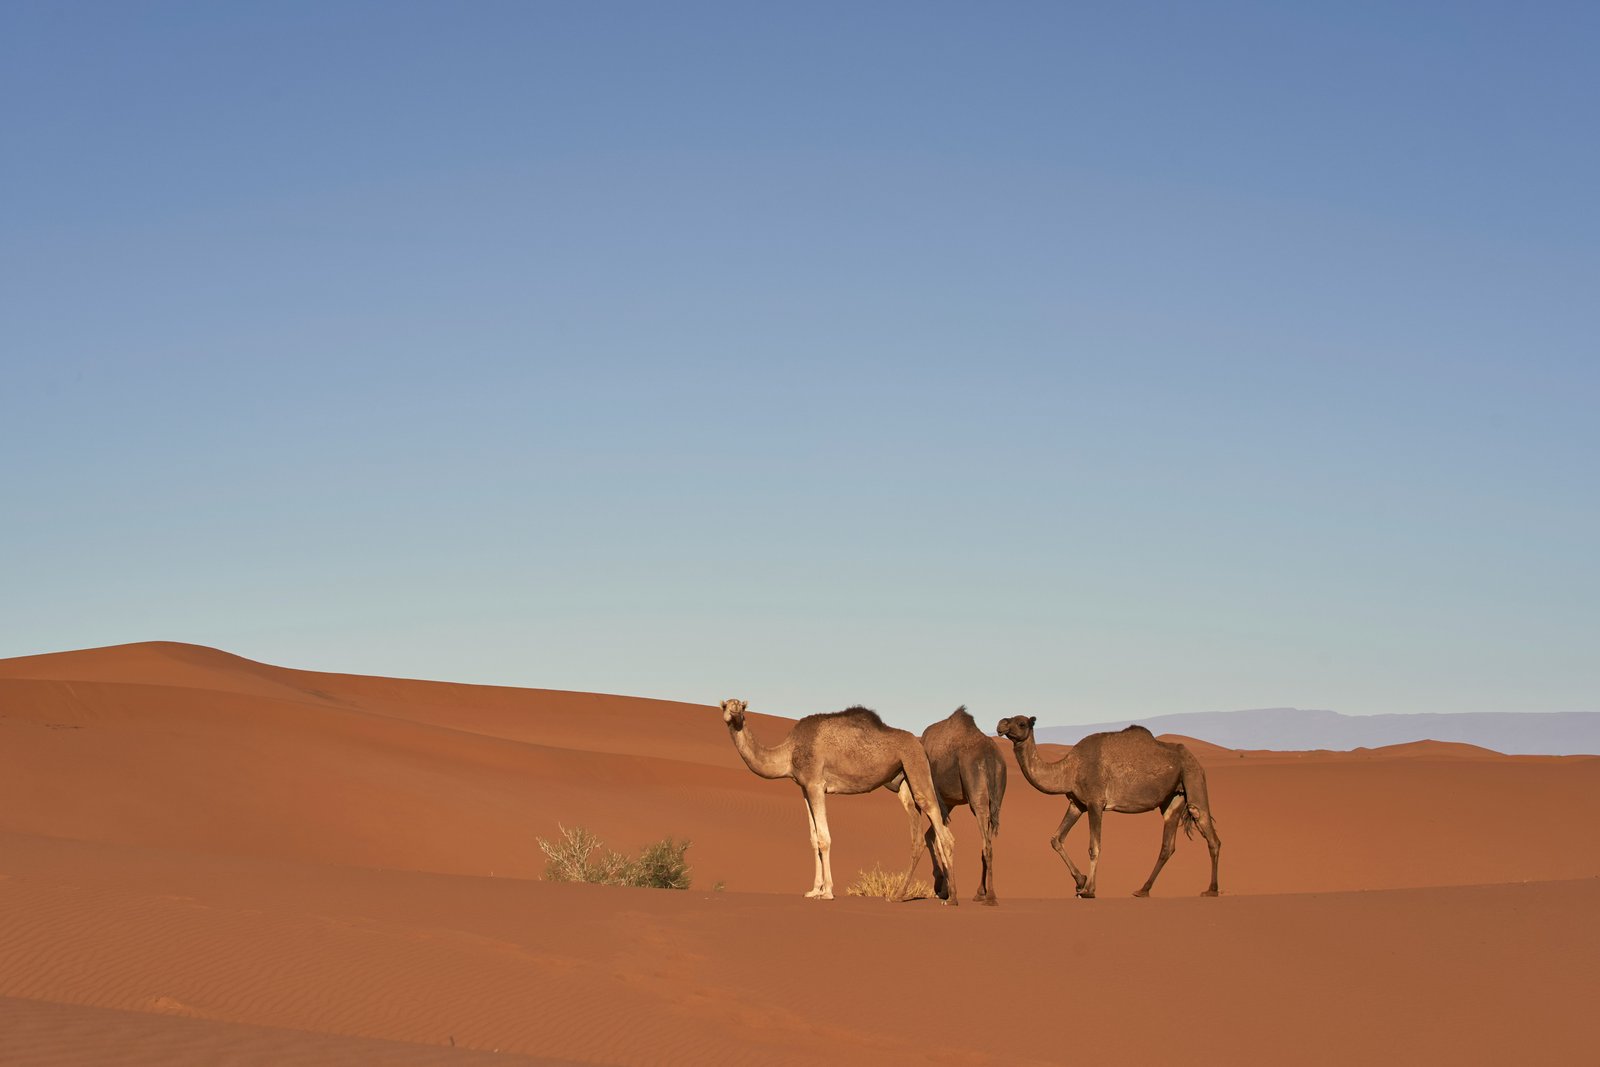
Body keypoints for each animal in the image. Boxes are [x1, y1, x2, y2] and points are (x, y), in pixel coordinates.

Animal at [720, 699, 957, 903]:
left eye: (741, 706)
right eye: (725, 705)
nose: (735, 712)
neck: (789, 752)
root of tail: (920, 743)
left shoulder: (816, 784)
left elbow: (824, 838)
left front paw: (827, 892)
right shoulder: (804, 788)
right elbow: (813, 838)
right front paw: (813, 890)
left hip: (915, 763)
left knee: (938, 823)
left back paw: (951, 898)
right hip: (903, 780)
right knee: (919, 836)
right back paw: (900, 895)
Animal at [890, 706, 1006, 905]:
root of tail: (990, 757)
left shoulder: (933, 798)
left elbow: (935, 838)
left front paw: (944, 890)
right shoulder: (948, 803)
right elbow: (935, 836)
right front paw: (944, 888)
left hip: (977, 799)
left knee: (986, 844)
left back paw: (989, 897)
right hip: (996, 801)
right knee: (987, 843)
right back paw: (982, 894)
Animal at [995, 716, 1221, 898]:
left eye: (1021, 723)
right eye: (1009, 718)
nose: (1001, 724)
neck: (1069, 769)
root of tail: (1192, 757)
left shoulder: (1096, 803)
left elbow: (1094, 847)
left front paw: (1089, 890)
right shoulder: (1077, 804)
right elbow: (1056, 839)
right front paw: (1080, 881)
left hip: (1193, 777)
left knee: (1209, 831)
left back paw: (1211, 890)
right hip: (1173, 797)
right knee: (1167, 845)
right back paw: (1142, 890)